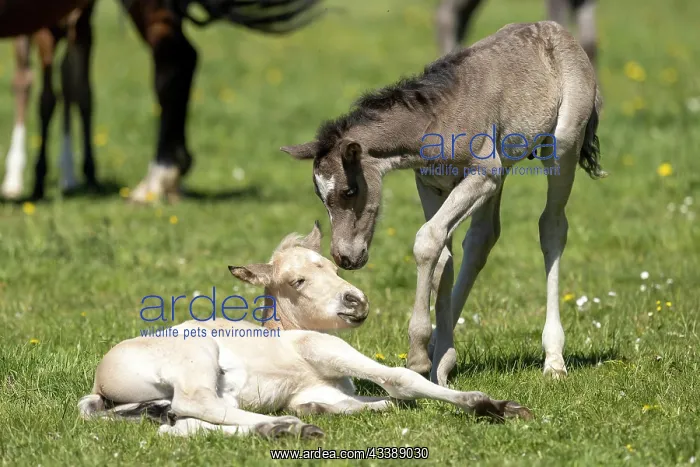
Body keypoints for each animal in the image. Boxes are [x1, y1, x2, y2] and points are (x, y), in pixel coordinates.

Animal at [78, 223, 532, 438]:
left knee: (179, 422)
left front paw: (312, 411)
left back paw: (284, 428)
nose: (356, 301)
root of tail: (100, 382)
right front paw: (490, 404)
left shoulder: (321, 388)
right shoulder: (324, 349)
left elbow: (374, 403)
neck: (289, 332)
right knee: (194, 404)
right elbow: (400, 382)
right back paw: (286, 426)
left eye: (333, 268)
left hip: (169, 402)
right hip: (196, 358)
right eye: (296, 281)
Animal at [282, 21, 604, 386]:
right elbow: (443, 258)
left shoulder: (483, 174)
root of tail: (558, 31)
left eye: (349, 191)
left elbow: (427, 240)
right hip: (502, 170)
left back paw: (554, 359)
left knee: (552, 227)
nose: (344, 257)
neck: (436, 120)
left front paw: (420, 357)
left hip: (562, 146)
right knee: (482, 238)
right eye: (320, 196)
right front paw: (441, 362)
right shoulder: (432, 183)